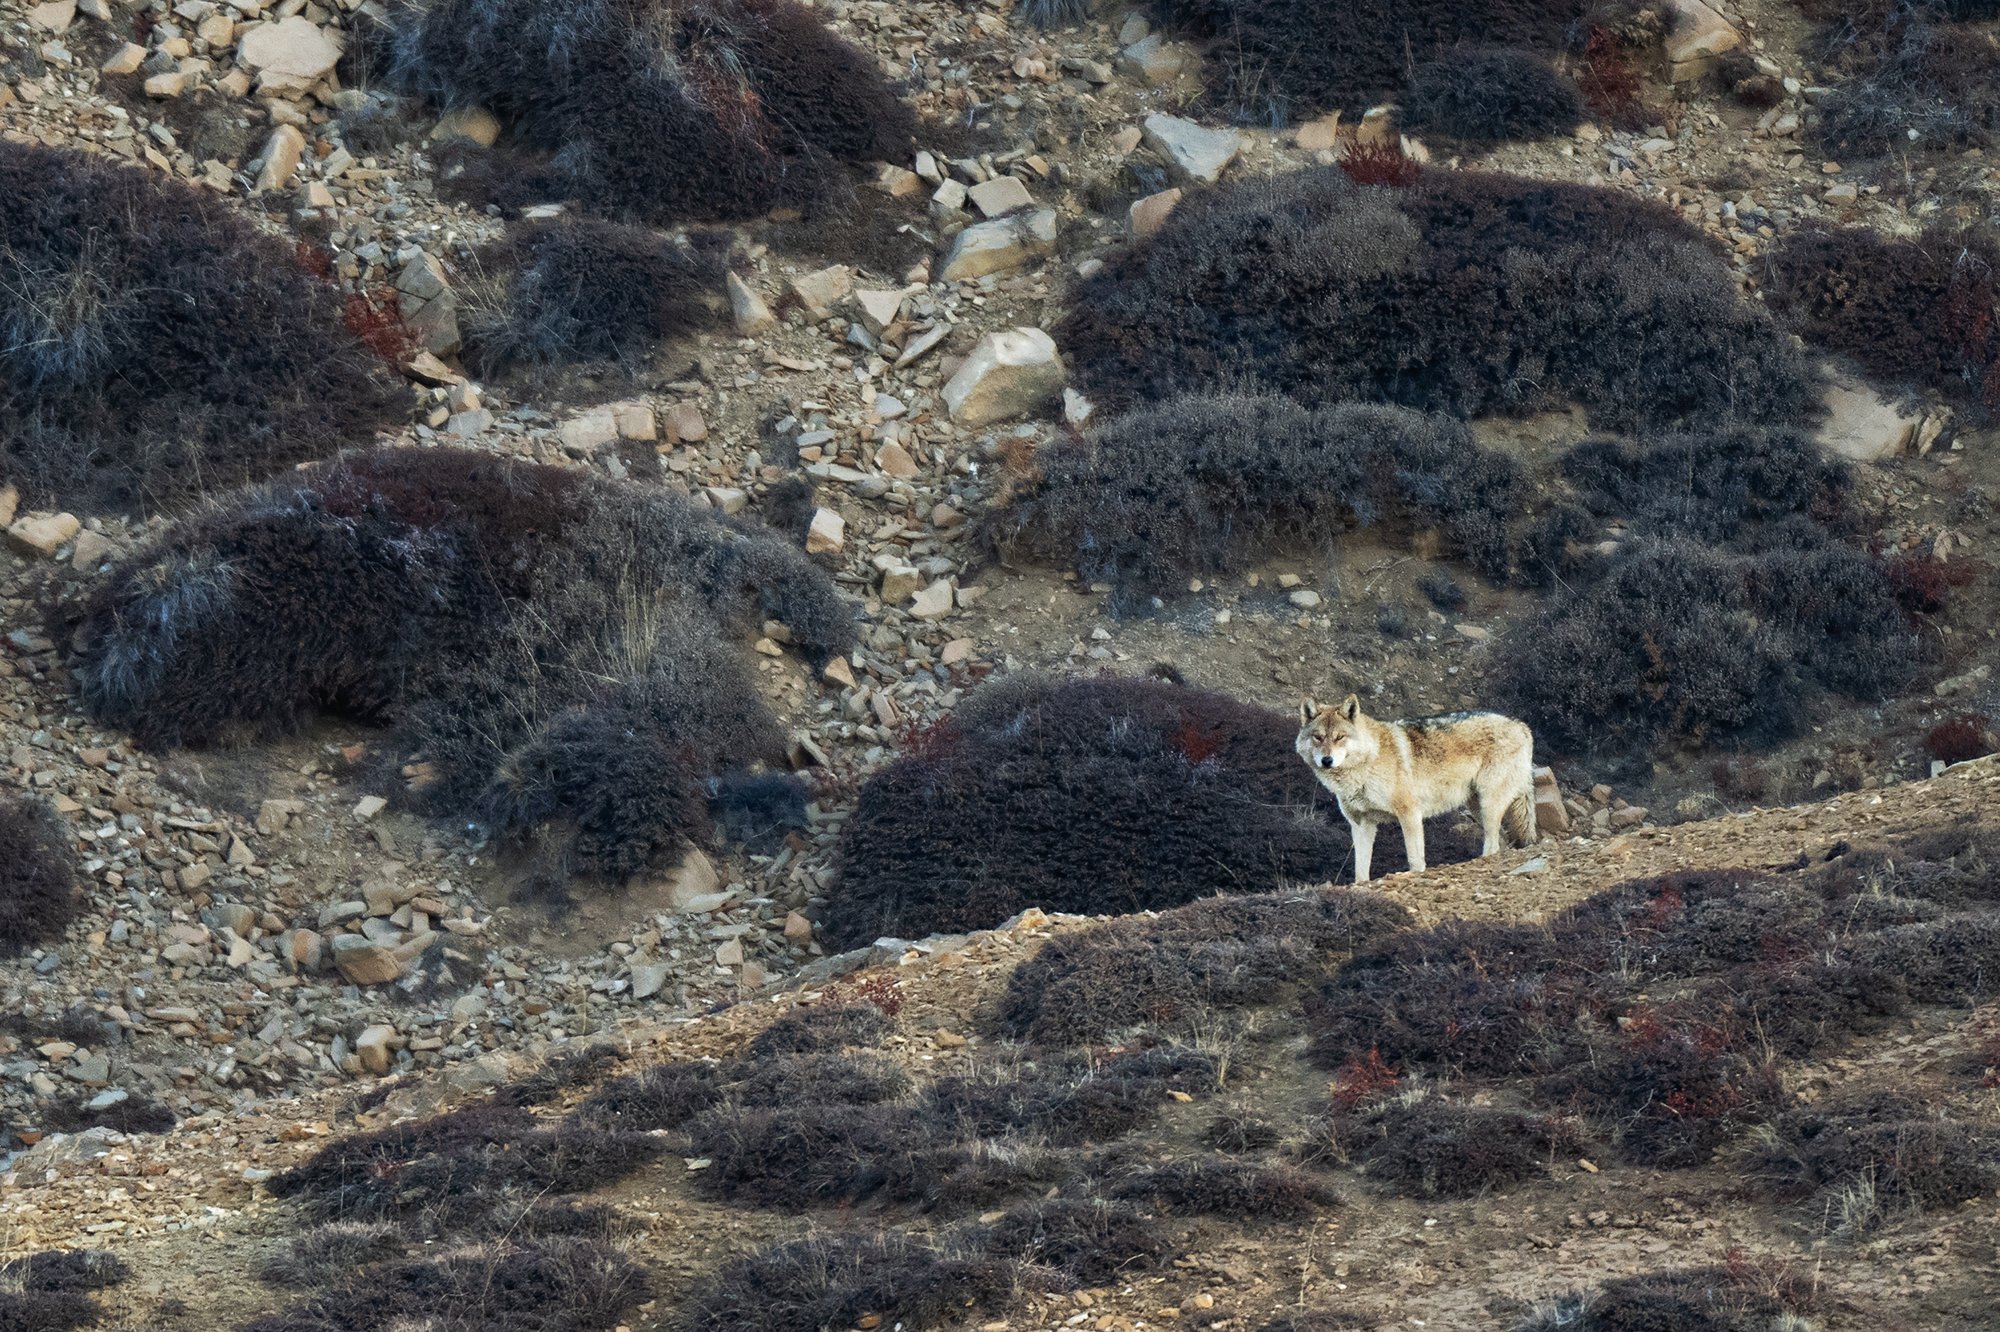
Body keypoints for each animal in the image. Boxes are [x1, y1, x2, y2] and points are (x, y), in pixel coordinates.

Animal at [1297, 695, 1537, 883]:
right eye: (1318, 737)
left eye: (1340, 737)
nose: (1326, 760)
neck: (1368, 762)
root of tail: (1521, 725)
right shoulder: (1361, 824)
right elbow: (1360, 871)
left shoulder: (1410, 814)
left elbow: (1415, 859)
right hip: (1478, 808)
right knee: (1502, 842)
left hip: (1489, 805)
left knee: (1494, 844)